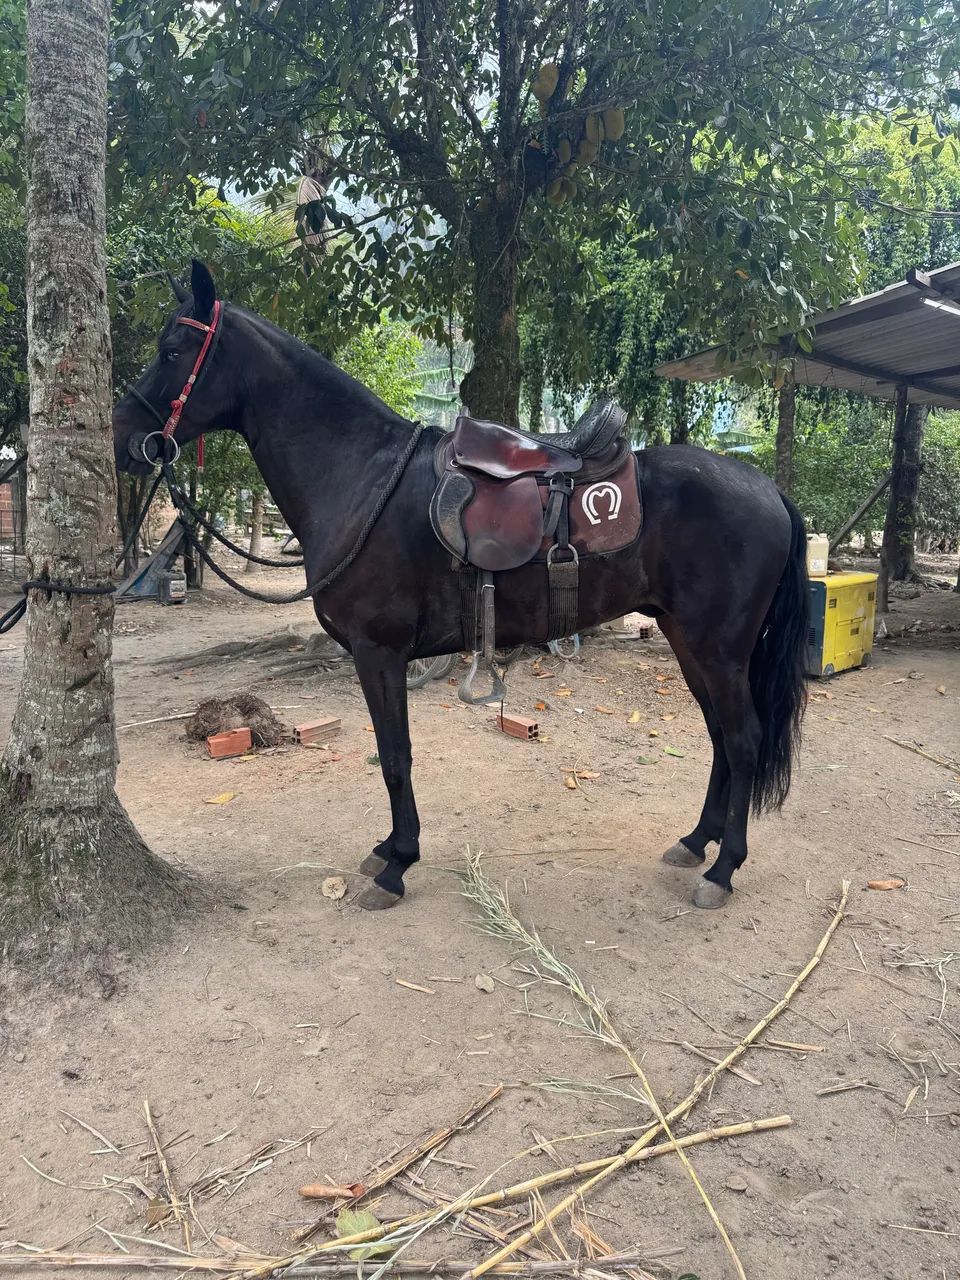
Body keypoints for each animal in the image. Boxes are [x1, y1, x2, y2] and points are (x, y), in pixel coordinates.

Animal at [113, 261, 809, 913]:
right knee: (720, 737)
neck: (363, 476)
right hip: (689, 641)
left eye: (171, 350)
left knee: (743, 740)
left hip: (717, 648)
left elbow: (395, 756)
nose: (124, 439)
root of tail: (769, 491)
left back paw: (723, 868)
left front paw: (397, 864)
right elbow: (393, 756)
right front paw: (389, 850)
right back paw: (697, 842)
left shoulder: (379, 653)